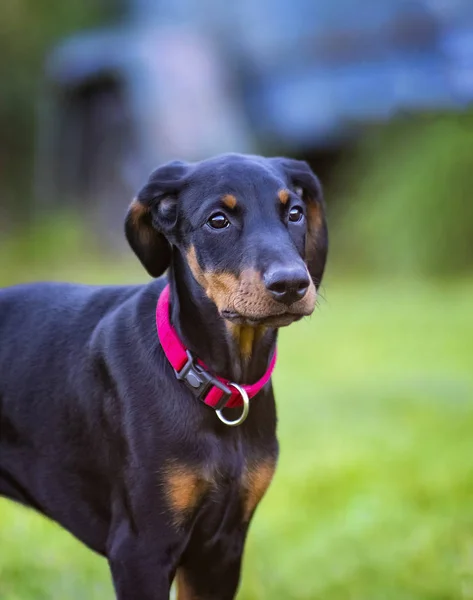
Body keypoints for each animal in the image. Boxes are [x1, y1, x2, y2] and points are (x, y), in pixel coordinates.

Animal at [0, 155, 324, 600]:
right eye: (218, 220)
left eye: (294, 213)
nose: (291, 283)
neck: (211, 380)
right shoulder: (141, 549)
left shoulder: (221, 549)